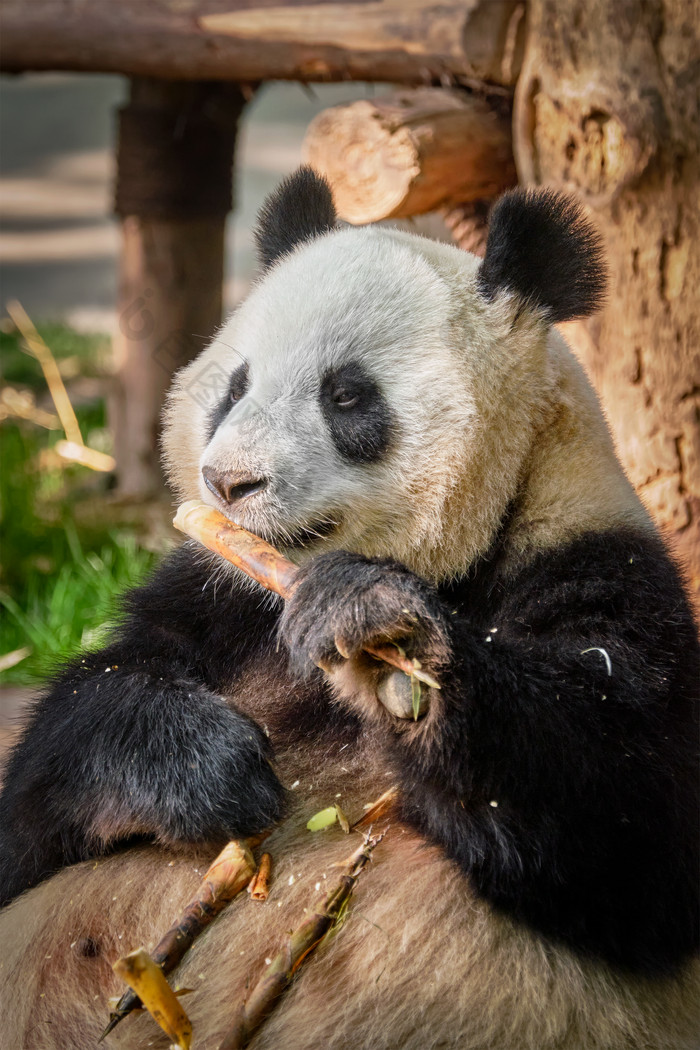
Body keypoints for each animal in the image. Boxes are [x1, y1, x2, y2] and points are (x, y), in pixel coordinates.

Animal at [1, 168, 700, 1045]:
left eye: (346, 396)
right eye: (236, 386)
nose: (227, 481)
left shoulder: (605, 569)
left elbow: (636, 827)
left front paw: (376, 634)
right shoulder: (210, 601)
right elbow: (48, 771)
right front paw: (206, 766)